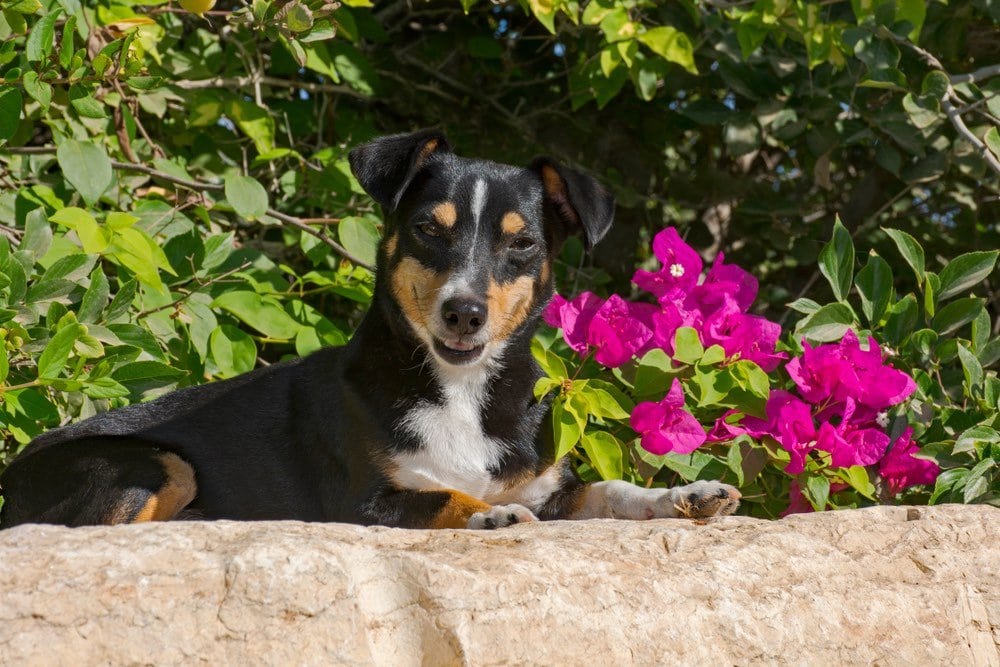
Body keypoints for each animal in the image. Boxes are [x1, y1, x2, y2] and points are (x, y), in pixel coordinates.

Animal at [0, 128, 740, 528]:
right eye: (429, 229)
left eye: (522, 243)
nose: (464, 311)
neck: (460, 392)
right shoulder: (365, 501)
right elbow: (442, 495)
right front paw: (486, 513)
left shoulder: (547, 486)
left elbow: (611, 490)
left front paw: (686, 494)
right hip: (153, 464)